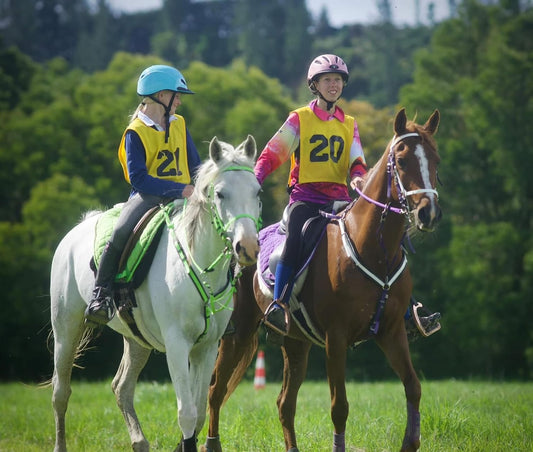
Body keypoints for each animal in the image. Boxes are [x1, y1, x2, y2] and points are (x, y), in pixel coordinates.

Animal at [50, 135, 262, 452]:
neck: (200, 267)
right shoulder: (177, 345)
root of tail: (75, 231)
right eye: (221, 194)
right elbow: (187, 414)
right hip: (66, 330)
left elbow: (199, 413)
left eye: (257, 191)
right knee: (61, 392)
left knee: (122, 387)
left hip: (137, 340)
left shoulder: (207, 347)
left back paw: (139, 442)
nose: (247, 247)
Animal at [201, 108, 440, 452]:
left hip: (295, 342)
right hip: (239, 332)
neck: (373, 250)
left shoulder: (392, 332)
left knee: (284, 403)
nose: (428, 213)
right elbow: (339, 406)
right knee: (216, 391)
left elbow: (413, 386)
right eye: (403, 159)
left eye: (436, 160)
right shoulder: (335, 338)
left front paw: (410, 442)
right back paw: (211, 443)